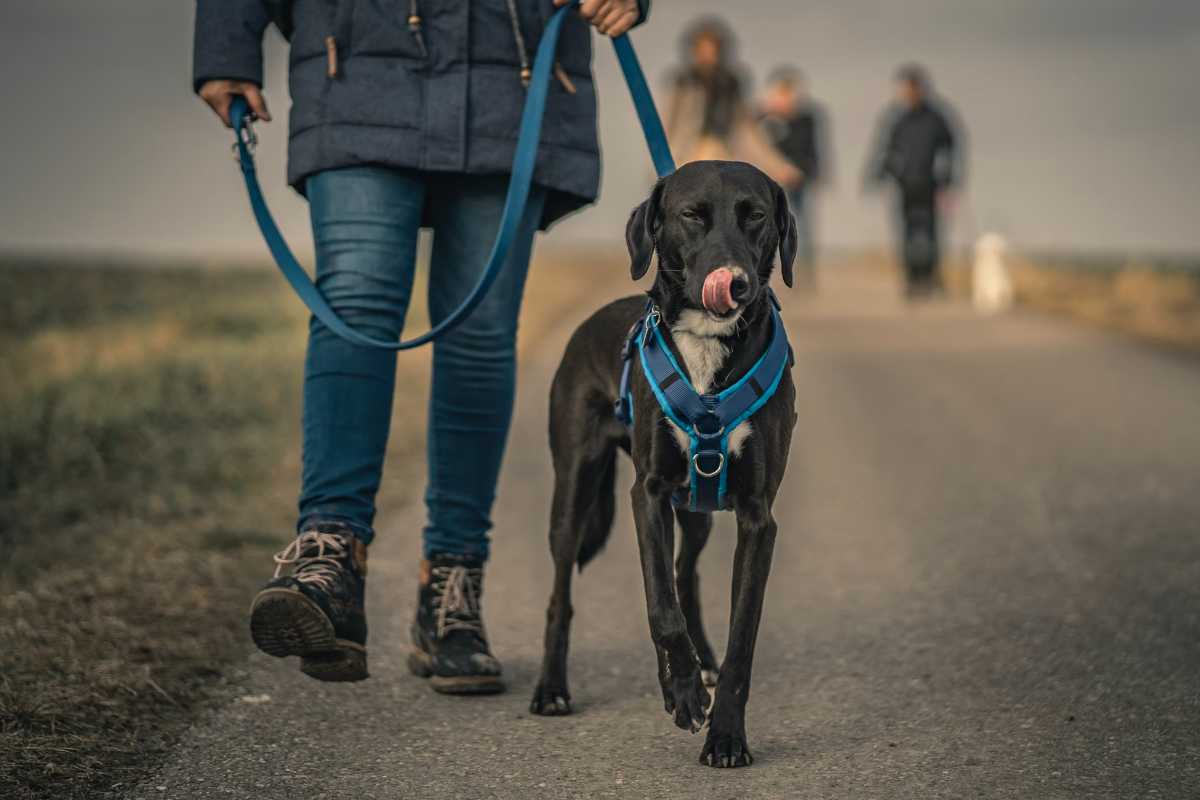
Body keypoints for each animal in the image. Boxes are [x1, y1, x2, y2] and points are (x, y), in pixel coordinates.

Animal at [532, 163, 796, 767]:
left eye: (756, 216)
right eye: (692, 215)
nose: (736, 282)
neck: (707, 343)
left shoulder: (757, 517)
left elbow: (740, 634)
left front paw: (725, 734)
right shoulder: (647, 495)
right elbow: (660, 608)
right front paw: (683, 692)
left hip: (695, 509)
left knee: (684, 572)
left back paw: (699, 667)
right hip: (574, 492)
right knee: (565, 593)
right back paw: (553, 689)